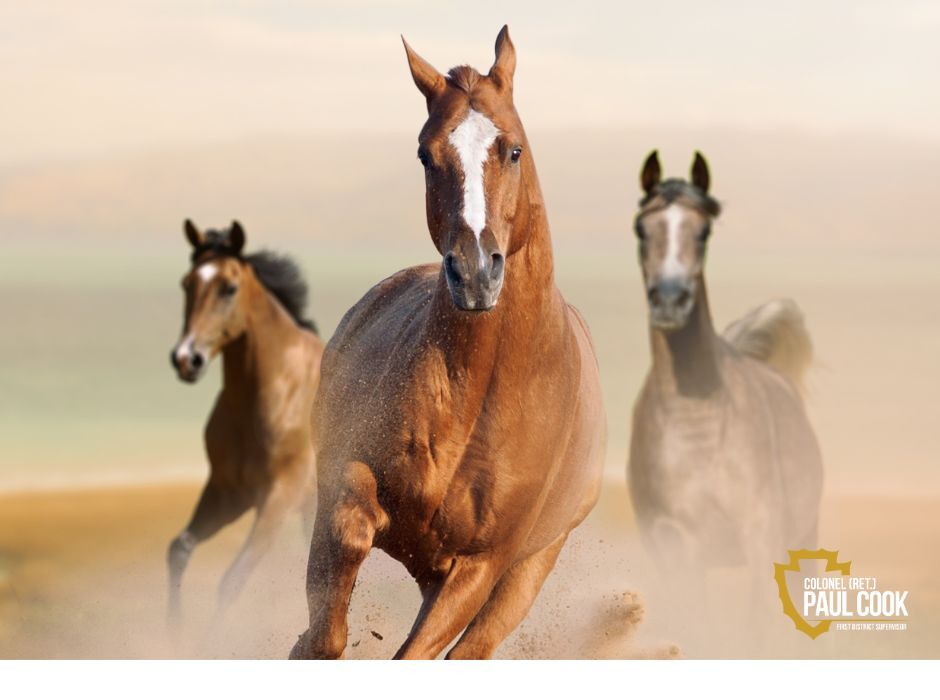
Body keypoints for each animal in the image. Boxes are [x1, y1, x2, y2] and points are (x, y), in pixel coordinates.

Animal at [168, 219, 323, 623]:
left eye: (229, 288)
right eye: (186, 283)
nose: (186, 359)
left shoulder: (280, 495)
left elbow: (232, 581)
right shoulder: (229, 491)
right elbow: (179, 549)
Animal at [289, 26, 606, 660]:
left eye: (513, 149)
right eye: (425, 154)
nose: (476, 273)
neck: (476, 395)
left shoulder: (481, 566)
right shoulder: (347, 478)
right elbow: (341, 570)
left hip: (528, 569)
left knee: (470, 650)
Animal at [627, 151, 823, 626]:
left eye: (703, 230)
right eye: (642, 228)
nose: (669, 301)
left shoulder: (761, 540)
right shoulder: (675, 555)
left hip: (804, 540)